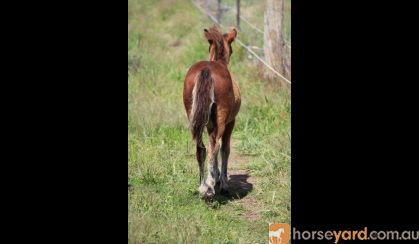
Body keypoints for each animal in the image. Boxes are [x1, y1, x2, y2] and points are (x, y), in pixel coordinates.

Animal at [183, 27, 241, 202]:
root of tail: (206, 70)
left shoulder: (208, 124)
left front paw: (216, 177)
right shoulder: (230, 122)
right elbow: (225, 149)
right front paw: (222, 182)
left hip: (195, 120)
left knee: (201, 149)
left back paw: (203, 187)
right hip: (222, 120)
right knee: (214, 146)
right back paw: (210, 186)